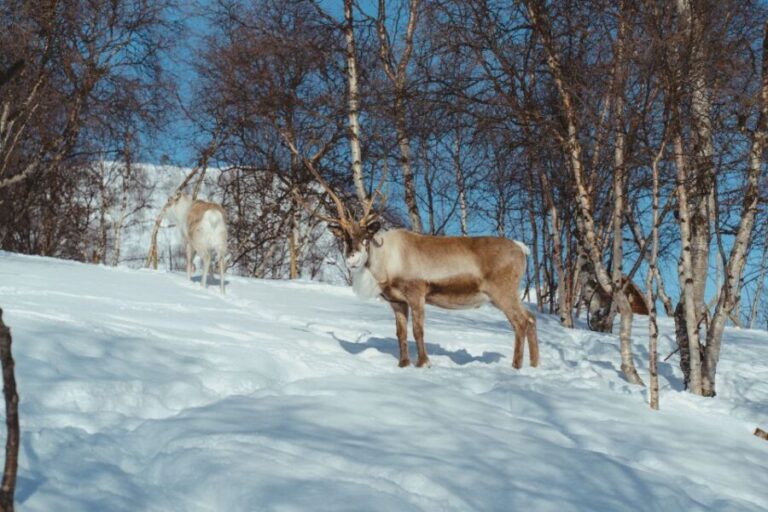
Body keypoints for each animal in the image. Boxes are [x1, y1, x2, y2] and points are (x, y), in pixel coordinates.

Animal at [288, 144, 539, 369]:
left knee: (520, 322)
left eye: (366, 235)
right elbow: (400, 333)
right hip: (504, 295)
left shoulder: (417, 292)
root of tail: (522, 249)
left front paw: (423, 363)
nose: (353, 258)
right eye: (346, 237)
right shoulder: (397, 301)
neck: (385, 265)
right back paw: (535, 365)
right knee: (531, 318)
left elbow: (418, 330)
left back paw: (516, 367)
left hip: (502, 292)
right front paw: (403, 364)